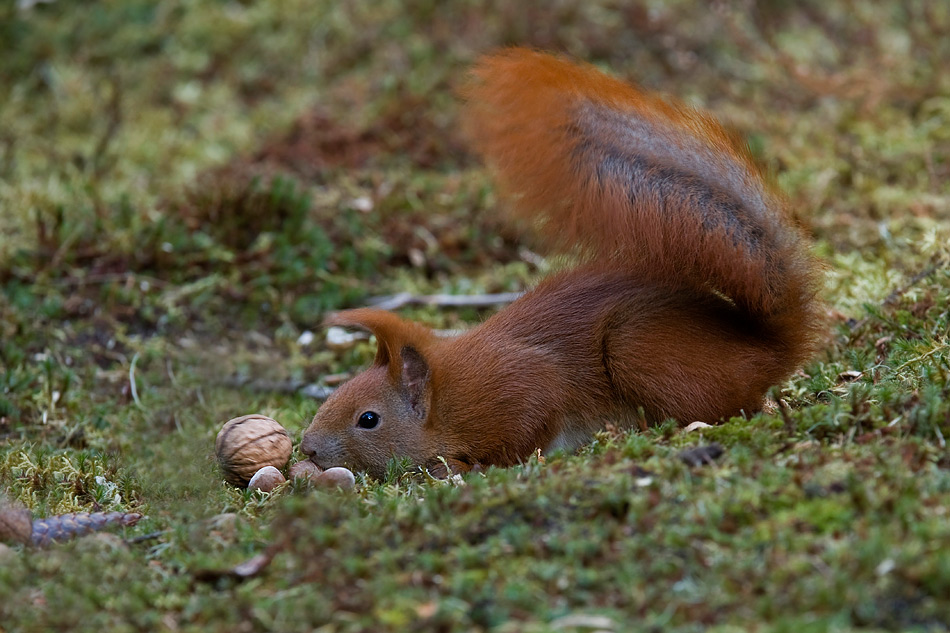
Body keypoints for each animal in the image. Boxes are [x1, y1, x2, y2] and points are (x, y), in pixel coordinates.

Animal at [302, 48, 820, 478]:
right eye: (333, 396)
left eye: (368, 419)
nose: (307, 448)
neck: (446, 400)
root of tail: (766, 350)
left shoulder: (518, 388)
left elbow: (529, 423)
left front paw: (473, 465)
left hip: (639, 349)